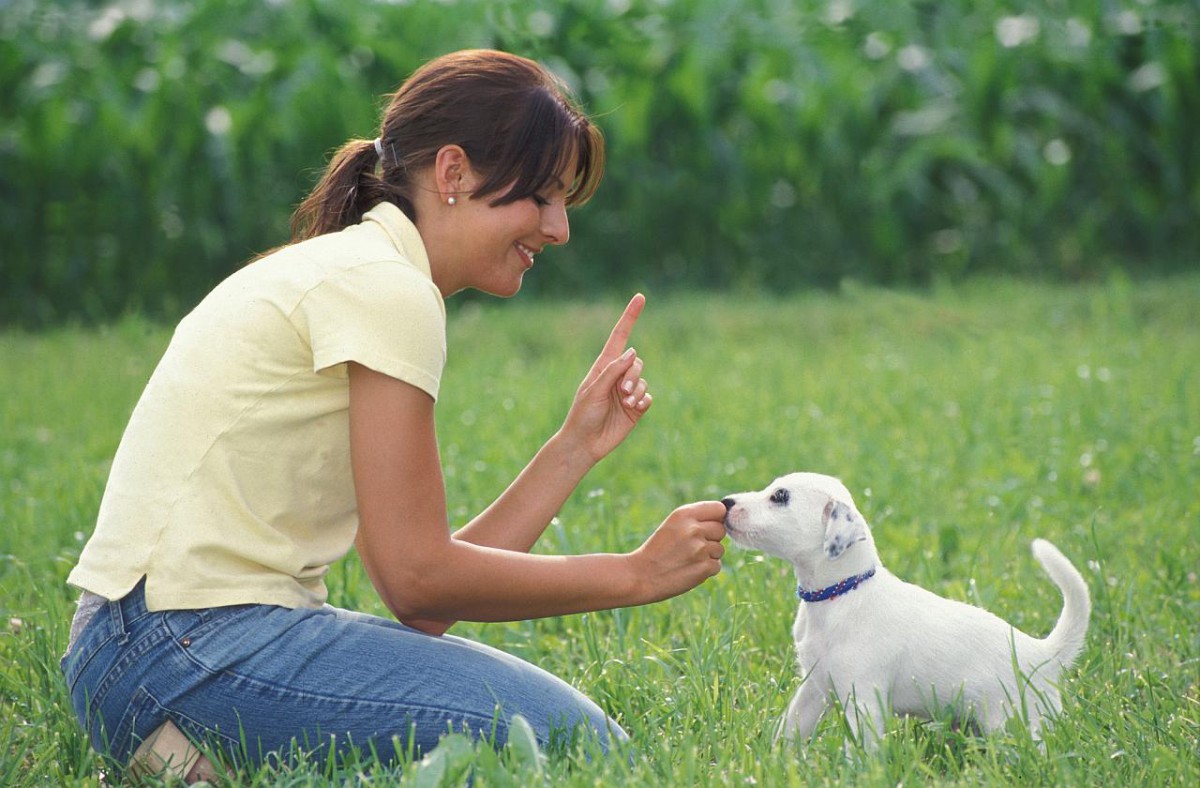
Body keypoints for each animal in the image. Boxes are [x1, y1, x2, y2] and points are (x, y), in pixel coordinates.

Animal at [720, 470, 1089, 748]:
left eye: (779, 496)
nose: (726, 503)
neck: (842, 594)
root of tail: (1044, 654)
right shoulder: (814, 688)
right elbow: (792, 728)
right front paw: (776, 760)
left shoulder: (863, 699)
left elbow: (862, 750)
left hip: (1016, 720)